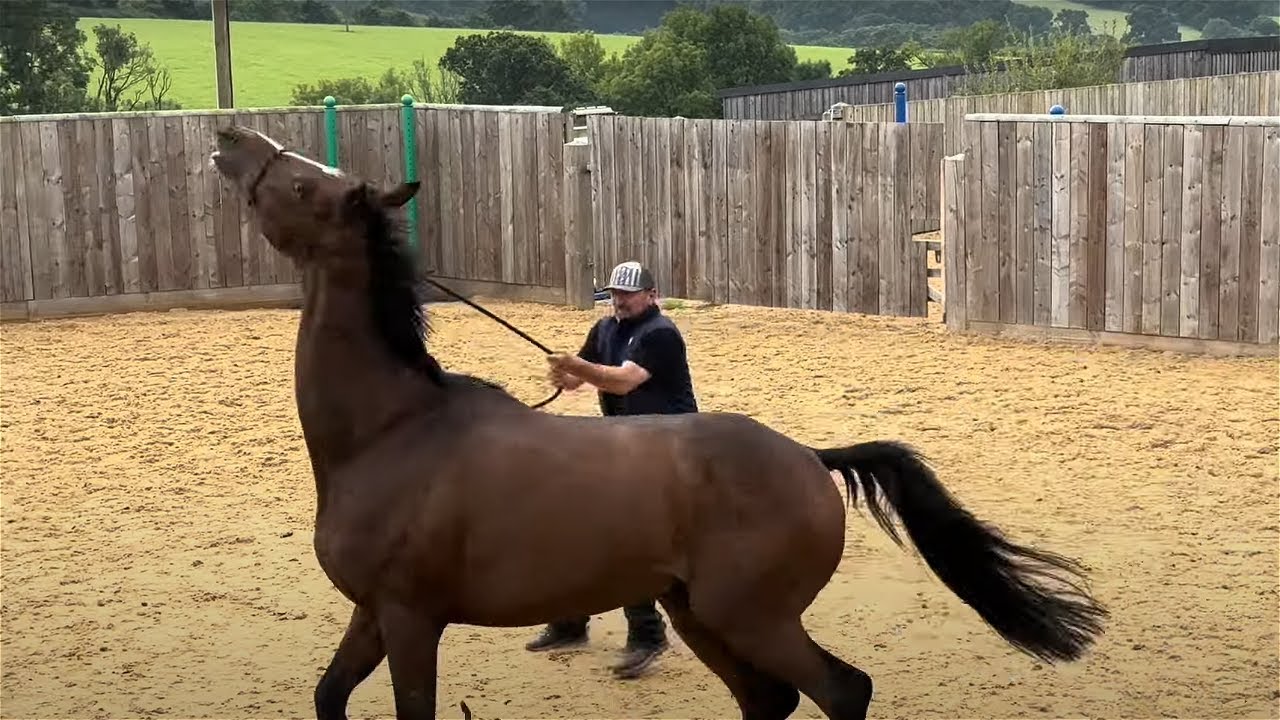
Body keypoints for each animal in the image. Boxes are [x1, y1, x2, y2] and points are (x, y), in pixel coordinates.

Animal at [208, 123, 1107, 720]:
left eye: (304, 185)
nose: (231, 135)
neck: (393, 433)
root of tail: (808, 457)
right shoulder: (372, 612)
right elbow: (328, 696)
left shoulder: (408, 618)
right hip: (698, 613)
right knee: (770, 701)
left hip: (752, 616)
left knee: (841, 691)